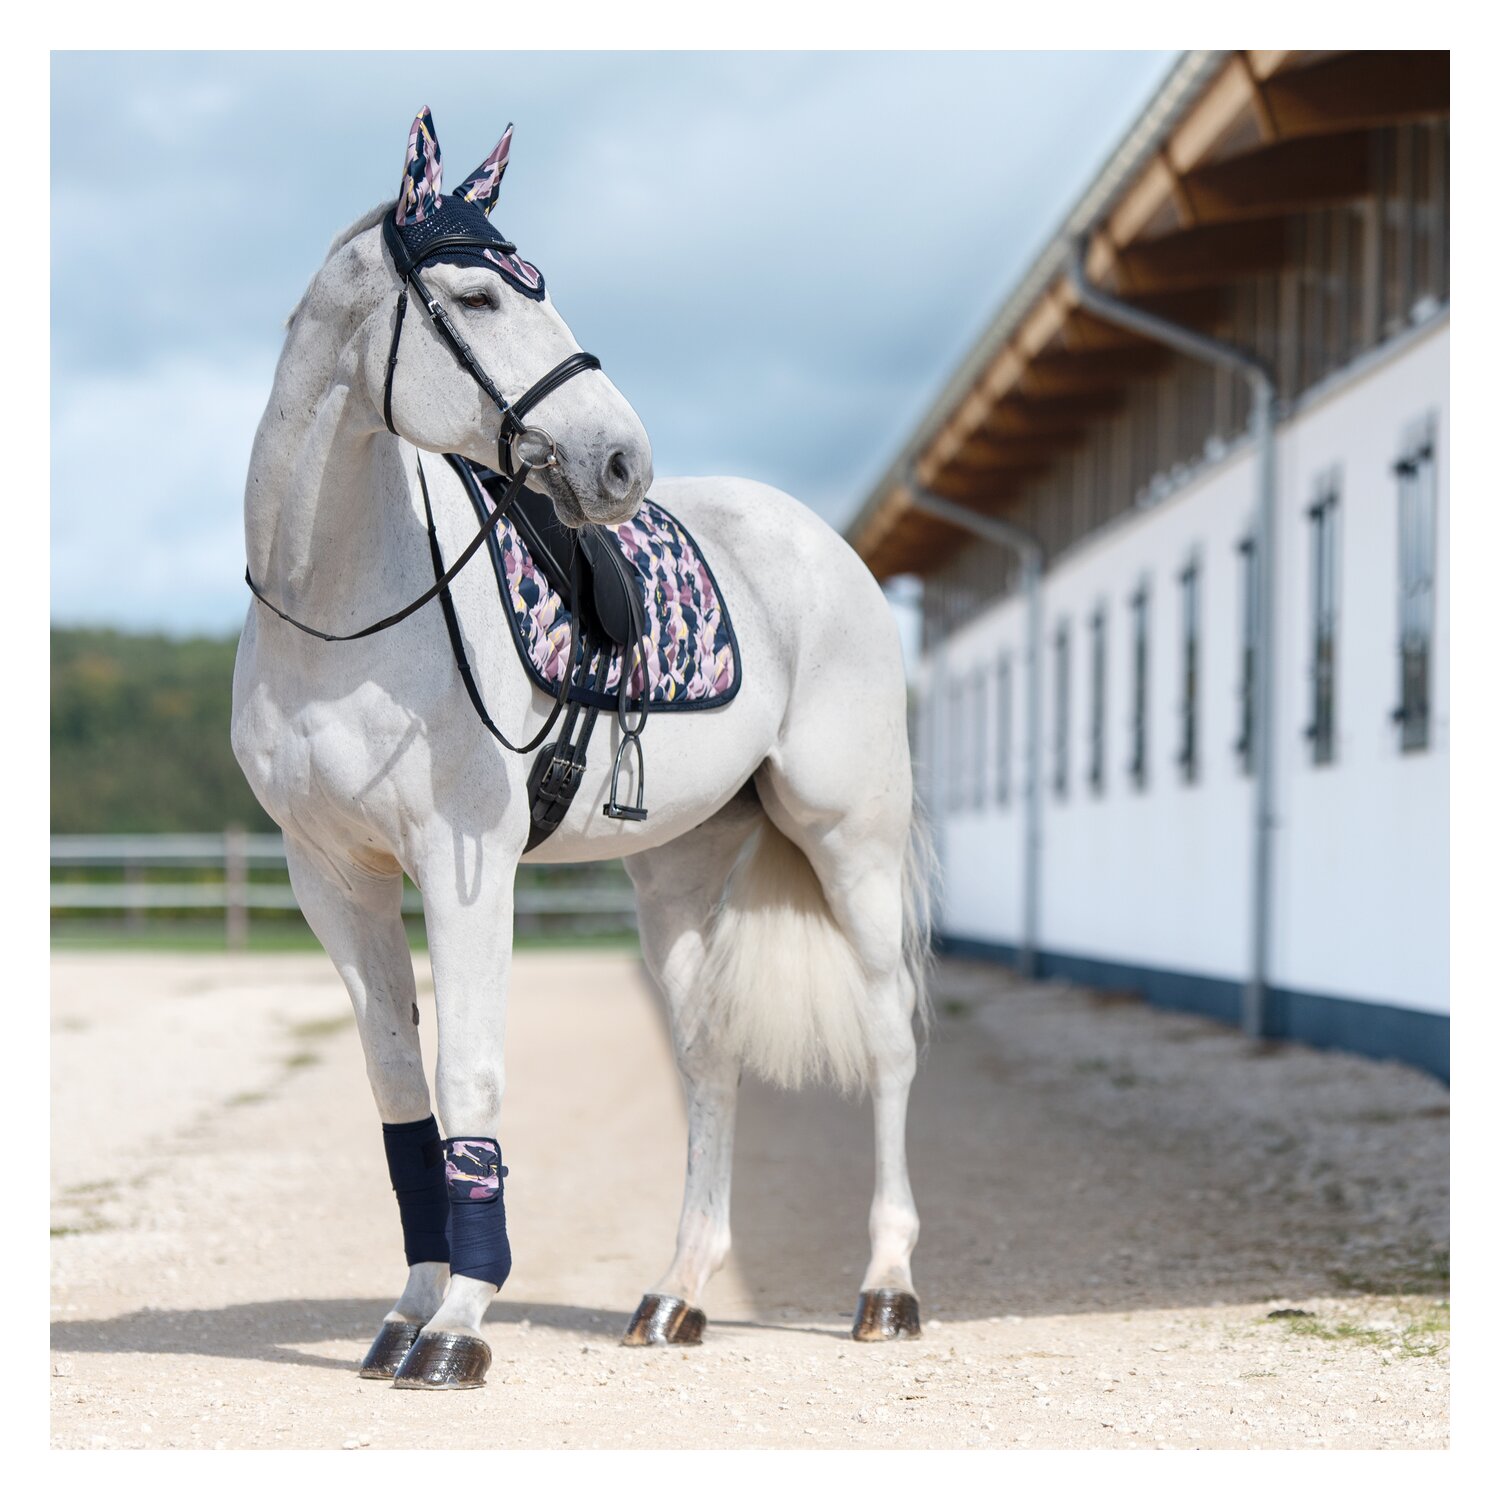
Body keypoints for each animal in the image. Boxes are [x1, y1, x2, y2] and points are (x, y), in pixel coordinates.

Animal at [231, 107, 931, 1391]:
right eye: (476, 295)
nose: (620, 463)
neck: (340, 606)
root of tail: (821, 545)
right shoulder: (331, 876)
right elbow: (400, 1087)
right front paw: (406, 1314)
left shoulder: (464, 865)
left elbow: (469, 1074)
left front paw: (459, 1325)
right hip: (680, 870)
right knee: (708, 1059)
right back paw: (677, 1296)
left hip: (851, 843)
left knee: (888, 1038)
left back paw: (887, 1288)